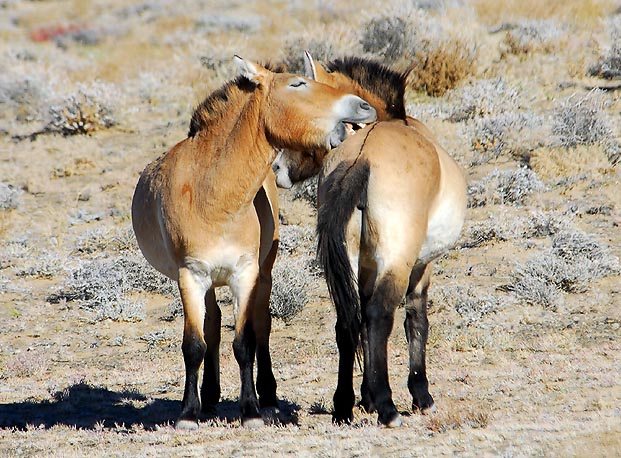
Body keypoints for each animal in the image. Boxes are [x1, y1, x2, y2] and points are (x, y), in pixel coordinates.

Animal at [130, 58, 378, 430]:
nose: (364, 107)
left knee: (261, 324)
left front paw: (251, 410)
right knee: (213, 324)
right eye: (297, 84)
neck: (214, 196)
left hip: (263, 273)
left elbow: (245, 340)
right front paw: (188, 412)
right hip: (207, 282)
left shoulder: (244, 274)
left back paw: (268, 396)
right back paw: (209, 398)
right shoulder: (191, 276)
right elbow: (194, 344)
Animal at [272, 54, 464, 430]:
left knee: (346, 322)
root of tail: (360, 157)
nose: (277, 168)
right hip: (398, 262)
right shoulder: (421, 267)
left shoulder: (363, 268)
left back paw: (344, 406)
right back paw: (389, 408)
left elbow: (357, 322)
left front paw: (366, 397)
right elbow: (416, 320)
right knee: (379, 316)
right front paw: (420, 395)